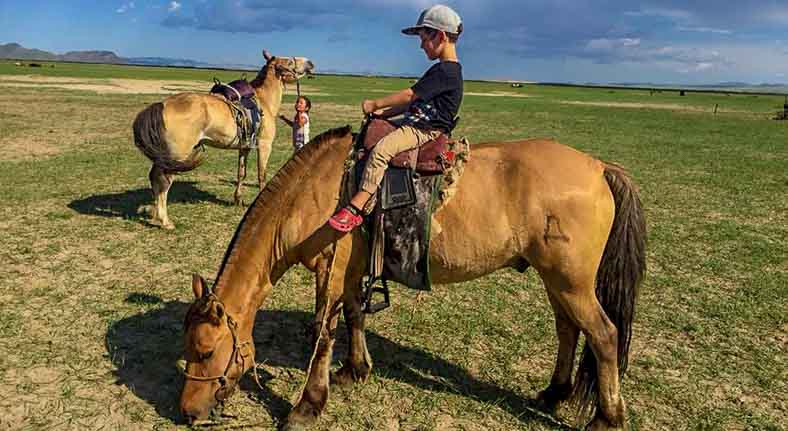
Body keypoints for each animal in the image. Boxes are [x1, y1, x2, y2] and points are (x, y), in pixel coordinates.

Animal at [131, 50, 312, 230]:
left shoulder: (244, 147)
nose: (310, 63)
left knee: (155, 178)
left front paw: (238, 200)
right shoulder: (265, 145)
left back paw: (154, 214)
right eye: (289, 62)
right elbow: (262, 174)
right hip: (176, 157)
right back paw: (165, 221)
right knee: (163, 183)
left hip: (165, 157)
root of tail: (162, 104)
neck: (264, 102)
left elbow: (241, 173)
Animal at [179, 125, 648, 431]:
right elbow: (355, 316)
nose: (187, 411)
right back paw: (554, 393)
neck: (315, 192)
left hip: (571, 283)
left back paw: (607, 419)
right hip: (558, 281)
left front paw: (307, 407)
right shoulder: (352, 272)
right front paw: (355, 370)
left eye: (205, 351)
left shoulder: (330, 270)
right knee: (568, 329)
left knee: (604, 336)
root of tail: (597, 166)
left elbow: (322, 333)